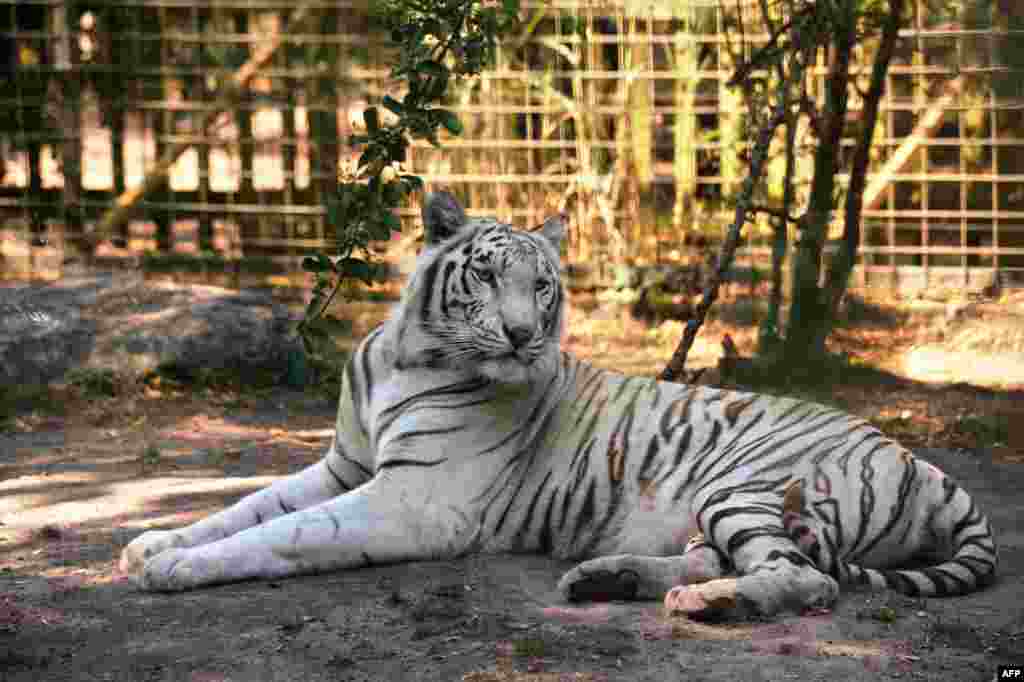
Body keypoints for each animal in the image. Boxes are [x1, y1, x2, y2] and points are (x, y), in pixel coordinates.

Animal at [117, 189, 991, 614]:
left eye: (542, 286)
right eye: (486, 275)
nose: (519, 334)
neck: (407, 354)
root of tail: (926, 466)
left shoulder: (410, 499)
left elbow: (288, 534)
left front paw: (176, 568)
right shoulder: (344, 466)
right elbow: (248, 505)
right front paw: (151, 543)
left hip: (744, 486)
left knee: (805, 580)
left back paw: (703, 605)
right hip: (719, 508)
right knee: (732, 556)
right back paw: (607, 580)